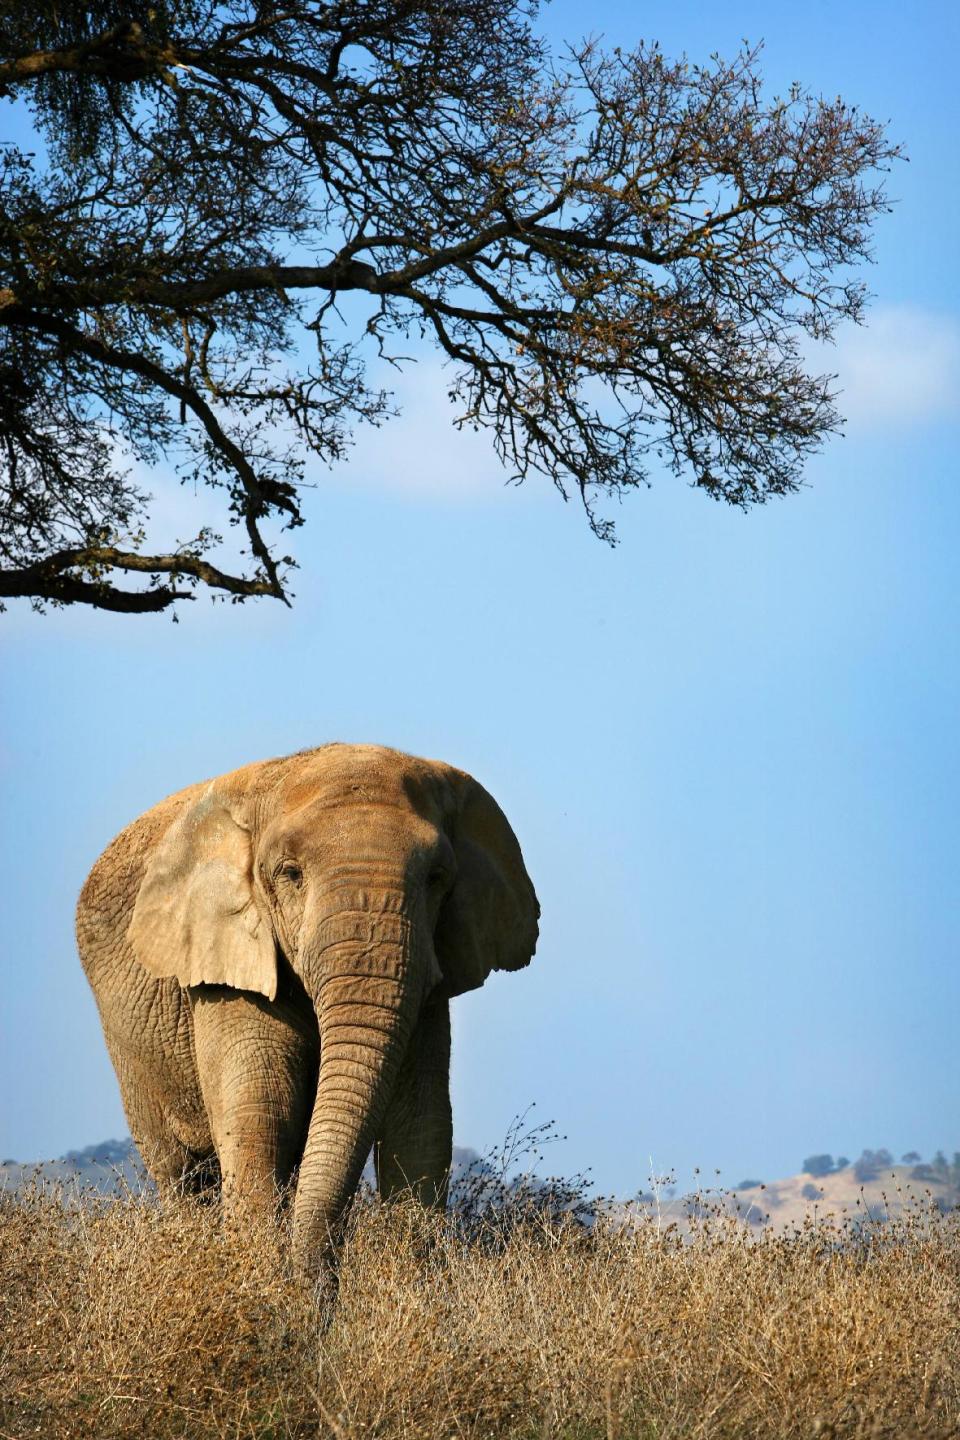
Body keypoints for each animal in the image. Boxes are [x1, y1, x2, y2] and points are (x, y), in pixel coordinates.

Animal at [75, 748, 541, 1278]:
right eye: (290, 873)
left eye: (437, 878)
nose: (313, 1279)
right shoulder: (227, 958)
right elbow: (263, 1107)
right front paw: (264, 1285)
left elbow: (419, 1121)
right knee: (179, 1172)